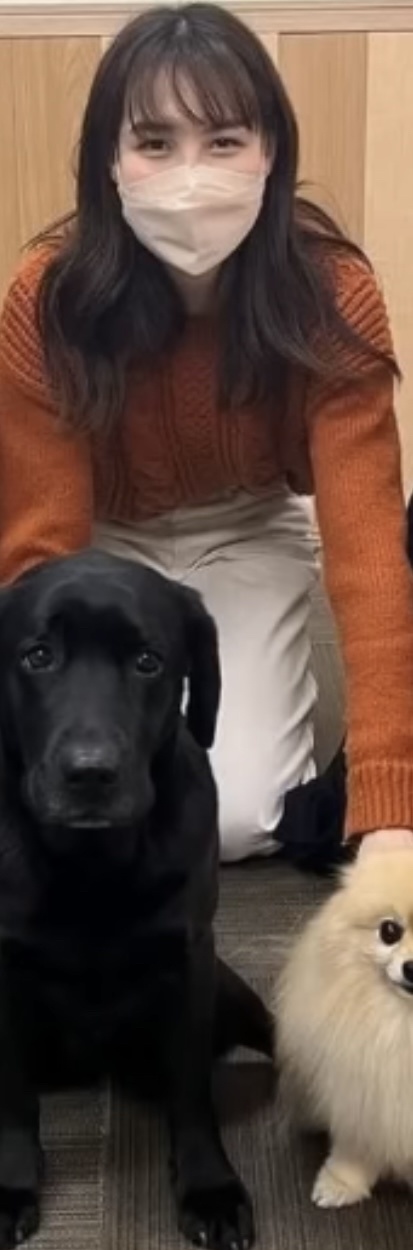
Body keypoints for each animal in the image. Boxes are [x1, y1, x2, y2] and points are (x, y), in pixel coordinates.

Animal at [0, 548, 272, 1250]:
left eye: (149, 661)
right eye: (37, 656)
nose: (90, 772)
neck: (92, 864)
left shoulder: (190, 959)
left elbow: (192, 1092)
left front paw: (208, 1187)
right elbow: (13, 1095)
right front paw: (10, 1183)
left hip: (233, 991)